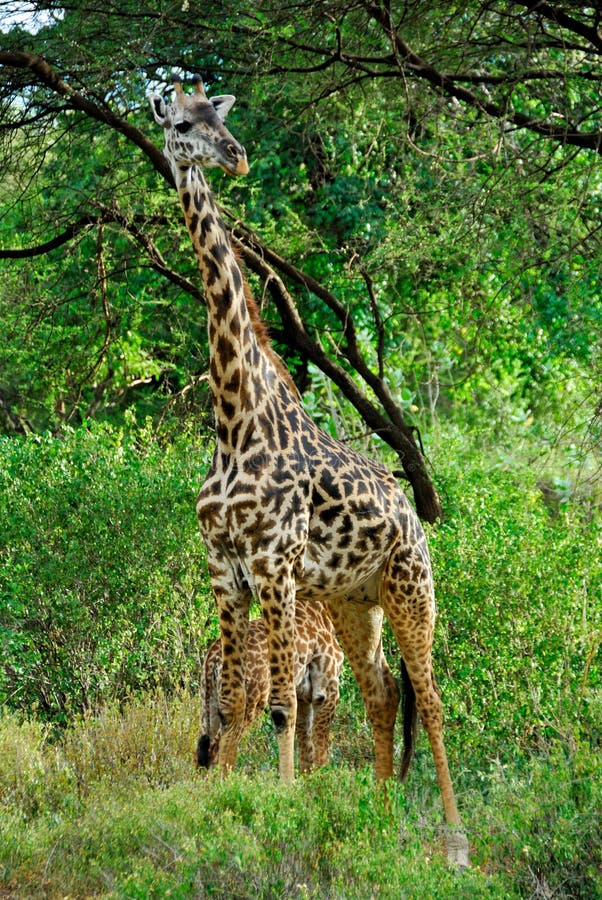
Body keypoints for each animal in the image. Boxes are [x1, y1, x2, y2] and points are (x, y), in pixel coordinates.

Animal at [196, 600, 343, 773]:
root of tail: (212, 658)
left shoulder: (303, 695)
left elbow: (305, 746)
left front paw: (307, 777)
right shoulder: (327, 688)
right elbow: (321, 743)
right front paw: (324, 775)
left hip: (208, 701)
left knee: (203, 751)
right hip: (252, 700)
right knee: (220, 747)